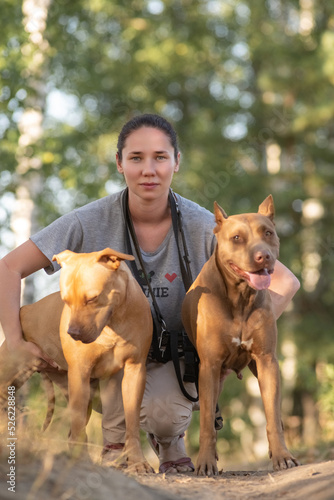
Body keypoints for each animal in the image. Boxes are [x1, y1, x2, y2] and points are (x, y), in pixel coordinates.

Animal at [0, 249, 153, 472]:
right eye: (65, 301)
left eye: (92, 298)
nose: (72, 333)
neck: (113, 323)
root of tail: (25, 309)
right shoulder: (80, 373)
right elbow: (79, 426)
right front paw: (81, 461)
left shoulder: (135, 371)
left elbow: (132, 424)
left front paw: (137, 461)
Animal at [183, 195, 300, 476]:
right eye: (237, 238)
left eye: (267, 232)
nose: (263, 256)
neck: (241, 298)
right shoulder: (209, 367)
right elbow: (206, 423)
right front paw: (206, 462)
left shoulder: (267, 361)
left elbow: (272, 416)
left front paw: (282, 456)